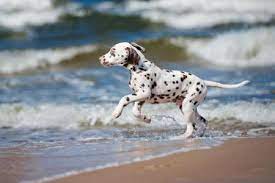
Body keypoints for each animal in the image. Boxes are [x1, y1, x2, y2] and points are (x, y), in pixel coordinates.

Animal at [99, 41, 250, 139]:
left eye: (112, 52)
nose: (100, 58)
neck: (139, 68)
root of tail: (203, 82)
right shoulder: (141, 96)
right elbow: (135, 112)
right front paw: (146, 119)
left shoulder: (143, 93)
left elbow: (124, 98)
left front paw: (116, 112)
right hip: (187, 106)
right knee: (202, 122)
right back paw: (199, 134)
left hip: (188, 106)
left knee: (190, 127)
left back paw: (181, 137)